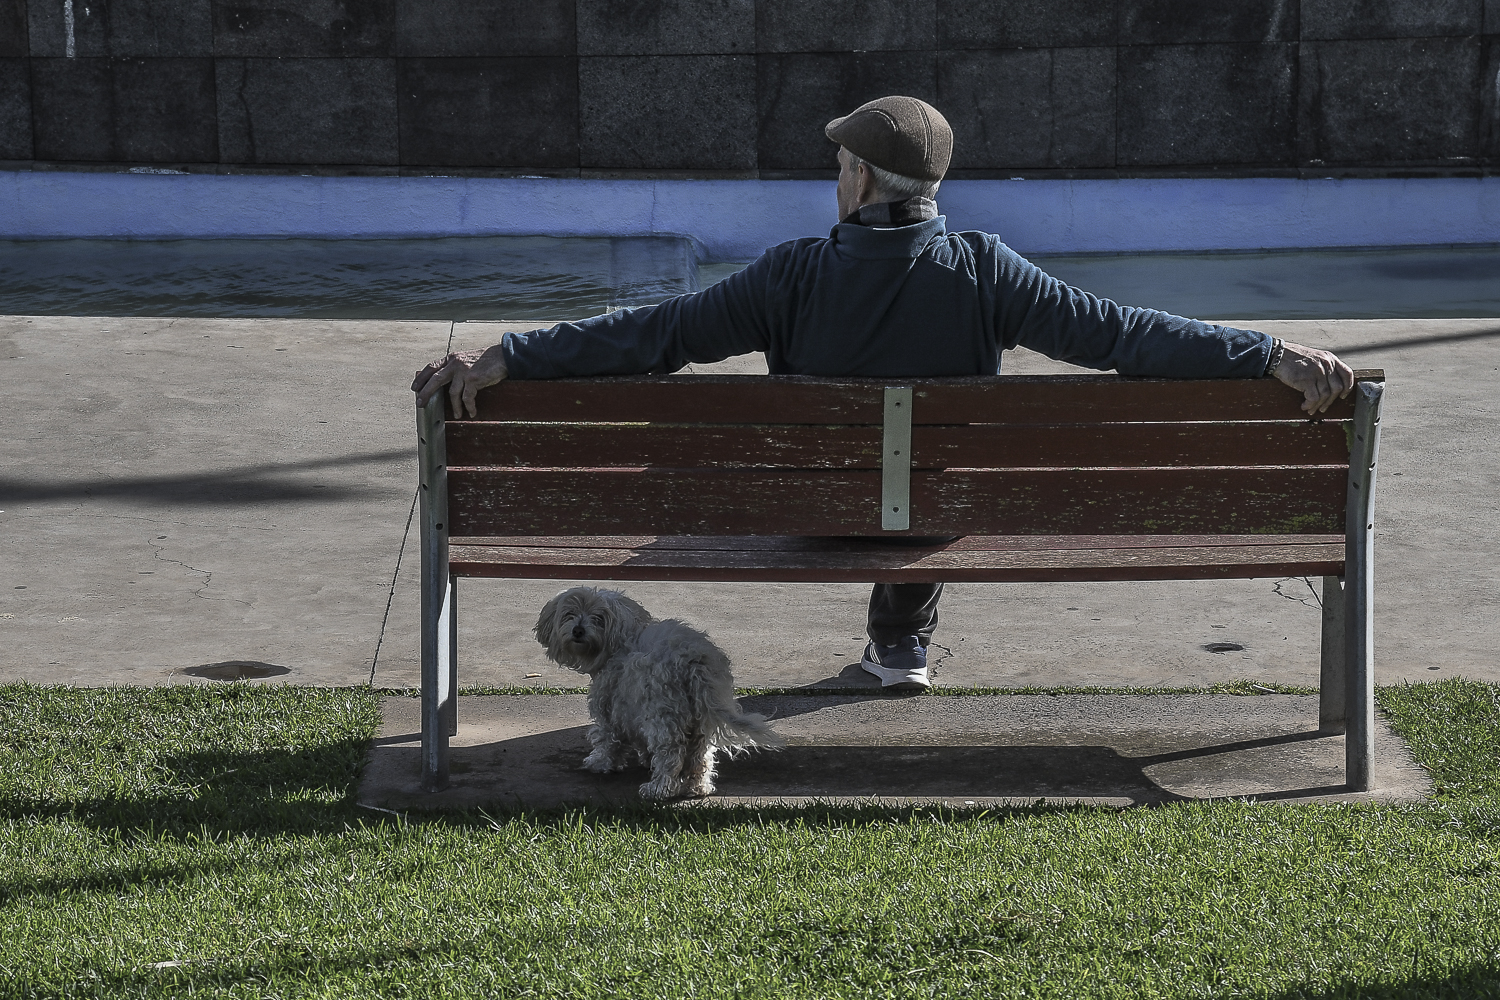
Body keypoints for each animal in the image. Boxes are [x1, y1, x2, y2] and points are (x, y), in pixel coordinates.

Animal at [534, 587, 780, 797]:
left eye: (598, 618)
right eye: (570, 614)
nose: (578, 630)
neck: (620, 642)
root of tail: (693, 660)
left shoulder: (611, 708)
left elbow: (608, 739)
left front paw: (600, 763)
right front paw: (644, 758)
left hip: (663, 714)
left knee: (670, 754)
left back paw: (658, 788)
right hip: (700, 718)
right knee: (700, 757)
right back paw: (697, 787)